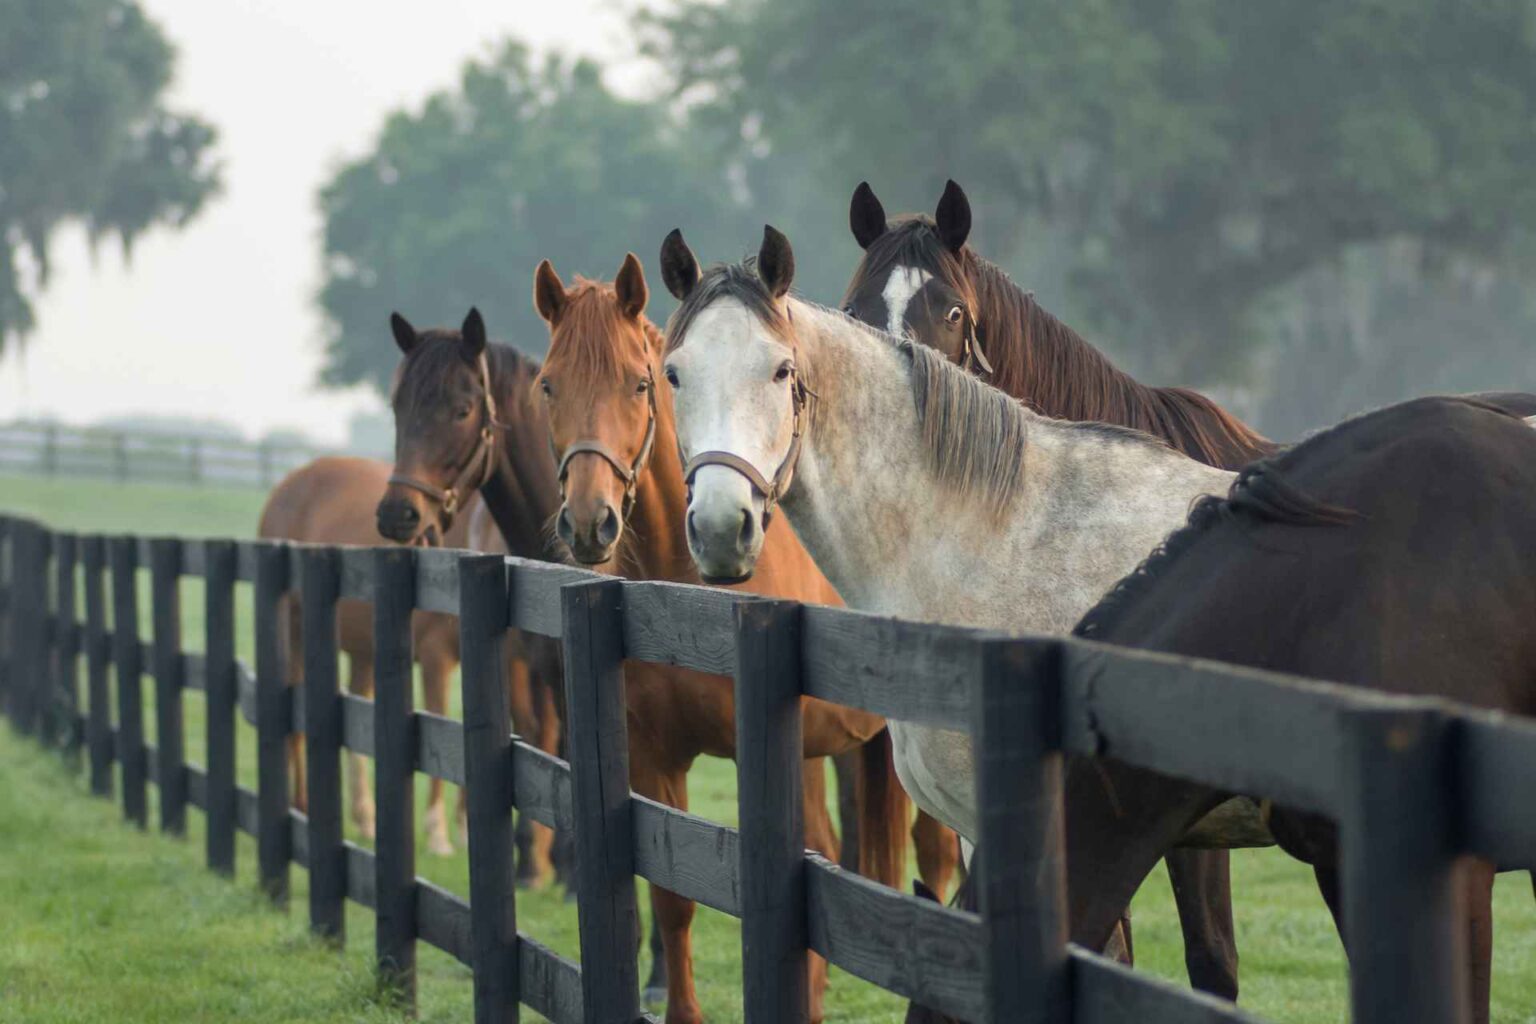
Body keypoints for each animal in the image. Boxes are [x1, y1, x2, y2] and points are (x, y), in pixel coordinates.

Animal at [258, 460, 565, 884]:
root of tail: (290, 481)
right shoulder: (441, 657)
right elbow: (445, 725)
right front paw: (439, 833)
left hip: (365, 651)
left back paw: (364, 817)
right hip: (296, 631)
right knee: (298, 725)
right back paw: (302, 804)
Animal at [534, 254, 903, 1024]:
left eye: (638, 383)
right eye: (548, 384)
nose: (588, 522)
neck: (690, 597)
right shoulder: (654, 758)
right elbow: (673, 899)